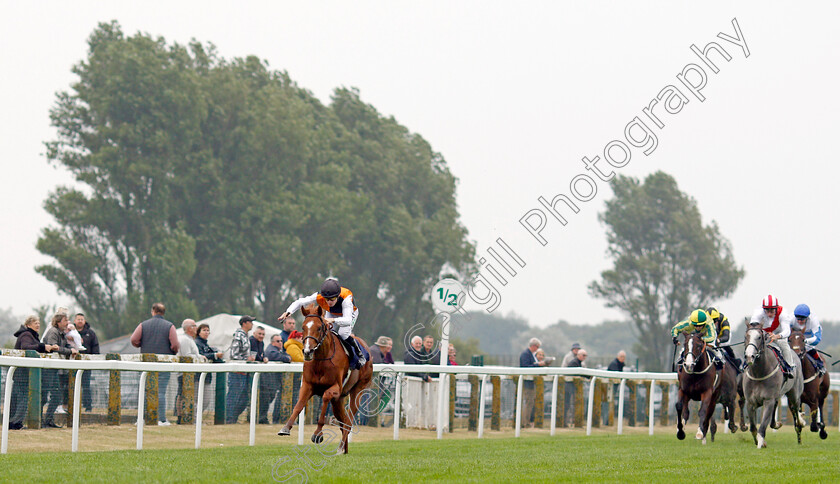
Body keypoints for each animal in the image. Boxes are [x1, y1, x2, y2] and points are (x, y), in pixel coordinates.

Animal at [278, 302, 372, 454]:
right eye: (303, 327)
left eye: (319, 327)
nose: (307, 351)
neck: (321, 360)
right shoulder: (307, 385)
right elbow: (298, 405)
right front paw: (285, 428)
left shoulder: (336, 388)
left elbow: (325, 398)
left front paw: (318, 434)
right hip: (339, 400)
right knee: (343, 420)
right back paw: (344, 449)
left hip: (358, 390)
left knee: (349, 421)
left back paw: (340, 448)